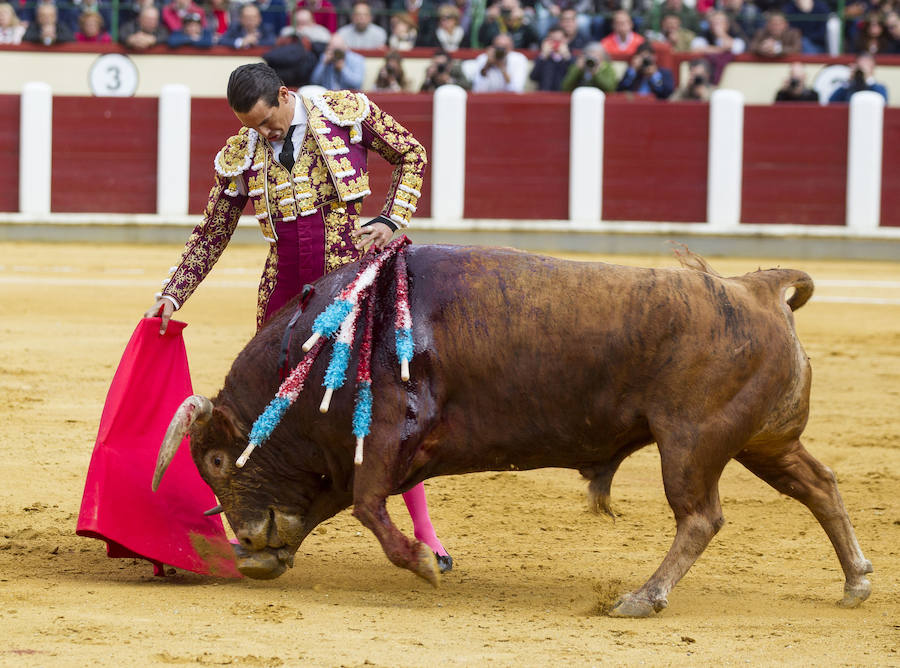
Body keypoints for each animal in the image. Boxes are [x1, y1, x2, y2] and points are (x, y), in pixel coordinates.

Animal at [153, 244, 872, 616]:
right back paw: (857, 581)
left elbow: (367, 506)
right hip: (764, 441)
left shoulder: (383, 434)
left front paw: (423, 565)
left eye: (214, 461)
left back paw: (642, 598)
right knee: (818, 485)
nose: (248, 538)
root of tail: (759, 286)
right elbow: (351, 503)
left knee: (701, 517)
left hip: (691, 443)